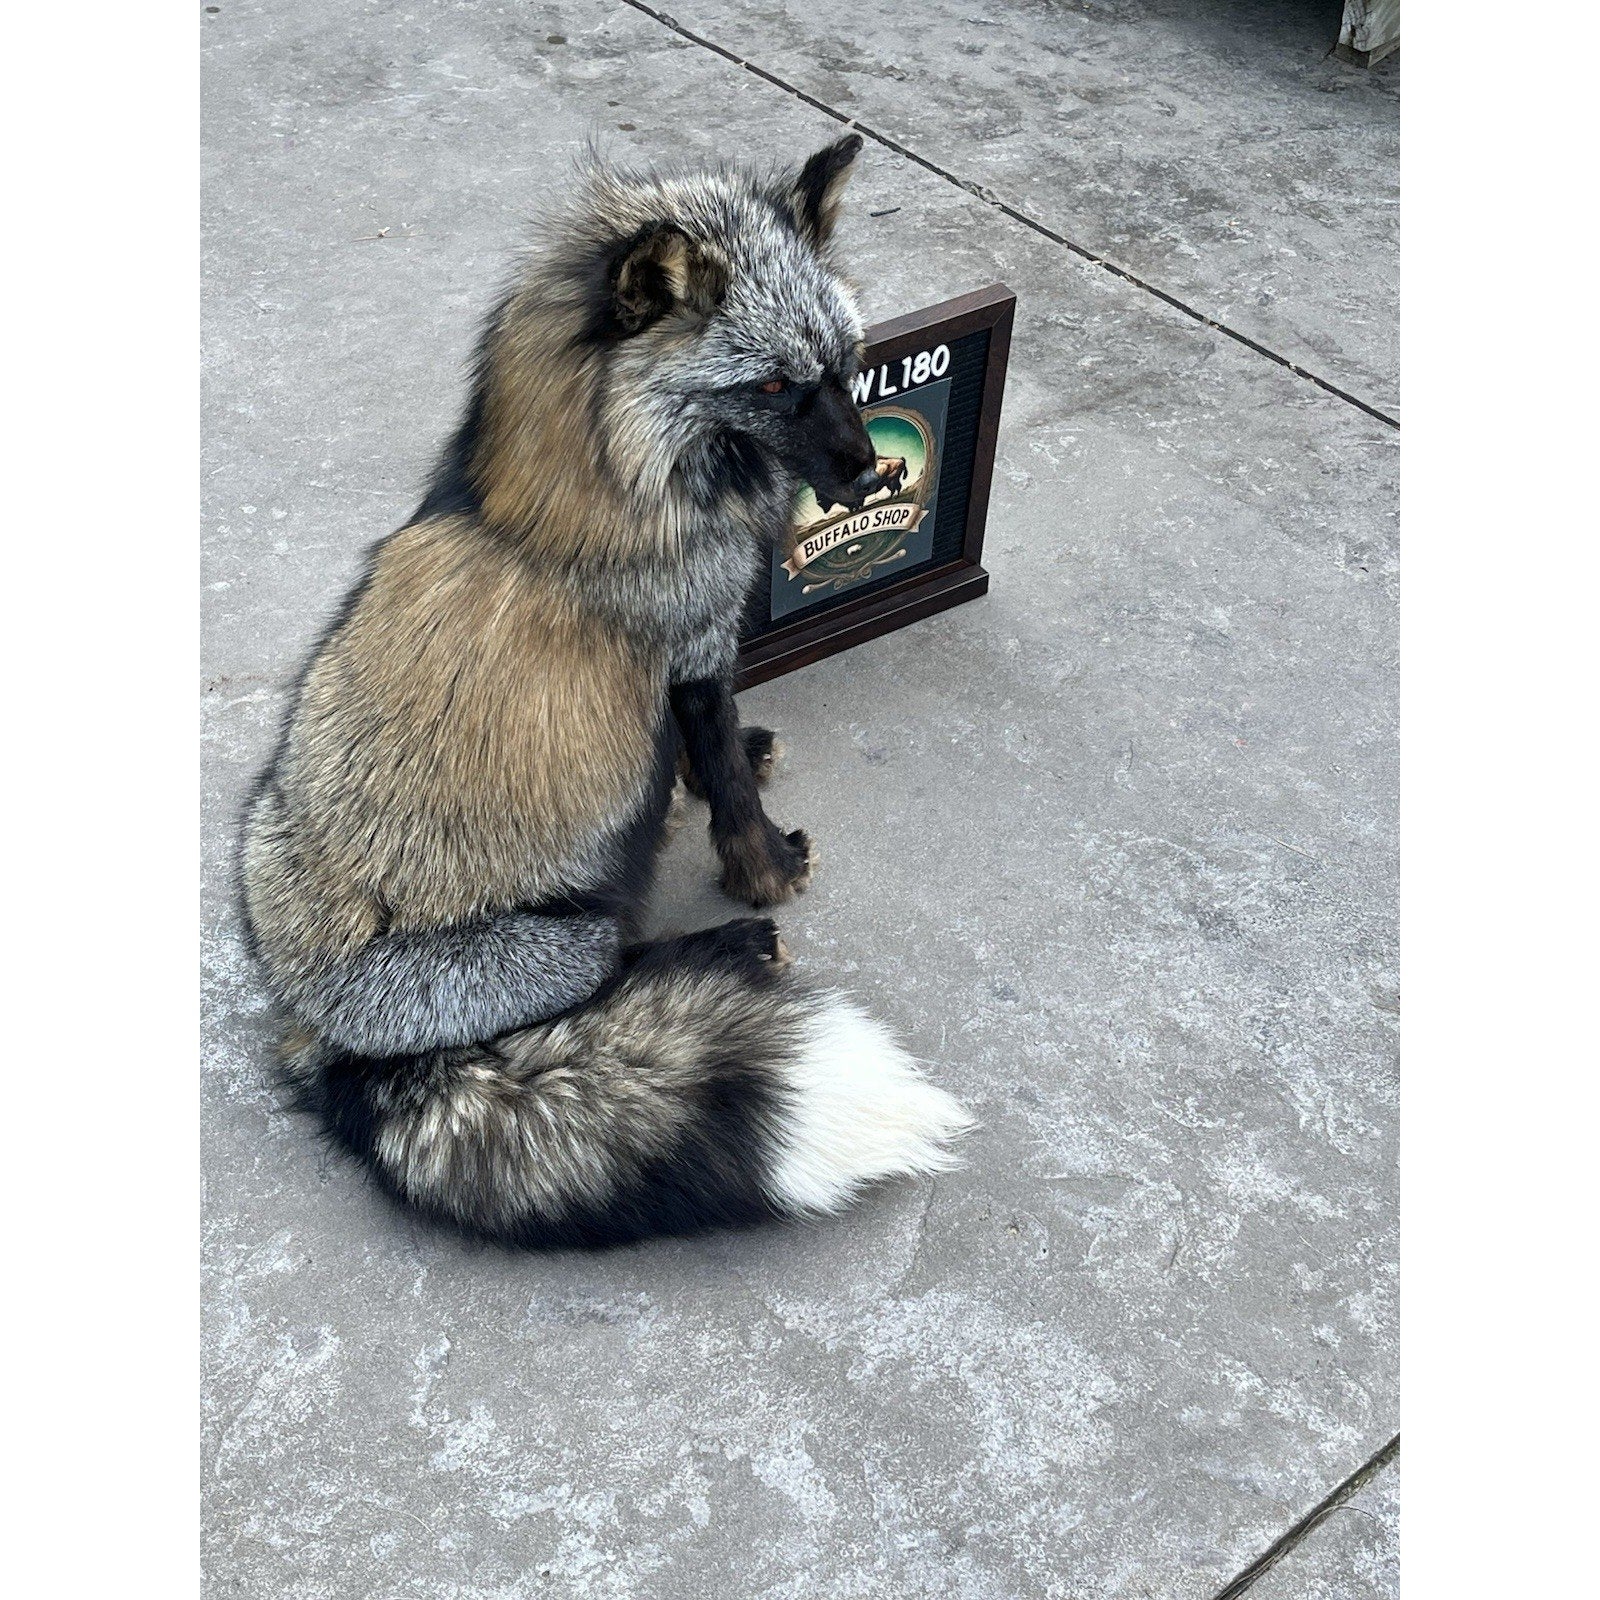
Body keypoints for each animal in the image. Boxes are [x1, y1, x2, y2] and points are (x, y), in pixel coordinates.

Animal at [240, 135, 972, 1248]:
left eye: (841, 371)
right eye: (771, 385)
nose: (868, 472)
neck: (592, 497)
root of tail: (318, 1039)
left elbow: (716, 758)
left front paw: (738, 765)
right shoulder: (695, 650)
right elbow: (727, 791)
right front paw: (763, 870)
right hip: (572, 934)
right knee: (618, 969)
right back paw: (730, 946)